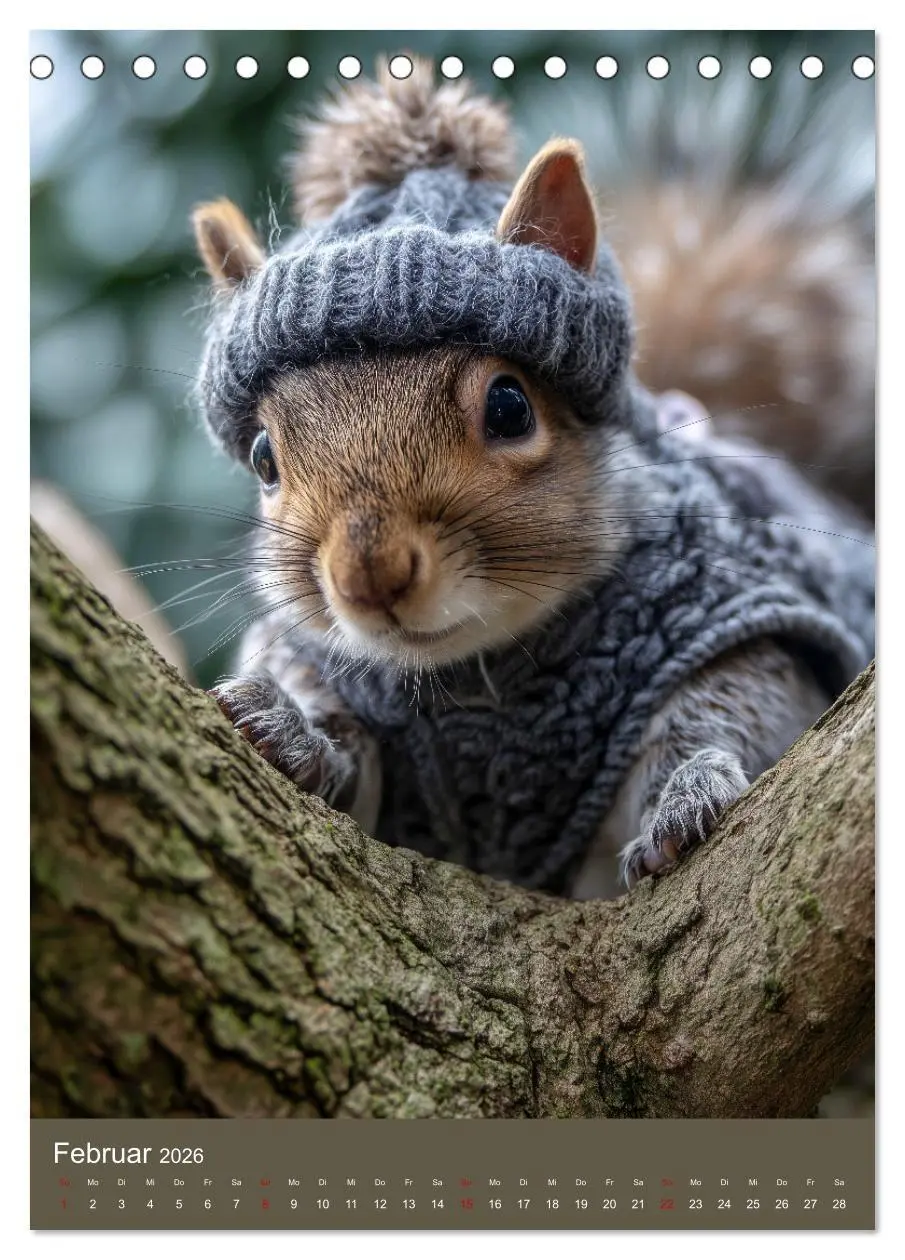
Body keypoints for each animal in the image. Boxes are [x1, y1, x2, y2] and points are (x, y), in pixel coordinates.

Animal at [191, 57, 875, 900]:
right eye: (263, 456)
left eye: (510, 406)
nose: (367, 577)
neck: (476, 676)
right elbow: (347, 757)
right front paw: (290, 730)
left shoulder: (732, 616)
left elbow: (732, 711)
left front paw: (685, 794)